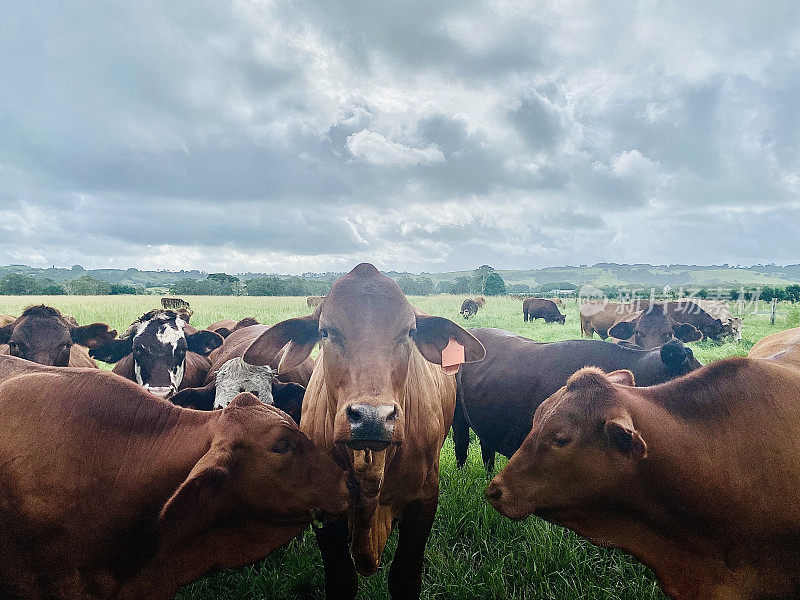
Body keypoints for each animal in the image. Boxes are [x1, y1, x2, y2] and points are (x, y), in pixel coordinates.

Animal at [241, 264, 484, 600]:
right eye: (326, 332)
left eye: (410, 332)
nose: (372, 417)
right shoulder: (323, 510)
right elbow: (342, 581)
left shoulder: (423, 501)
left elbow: (405, 578)